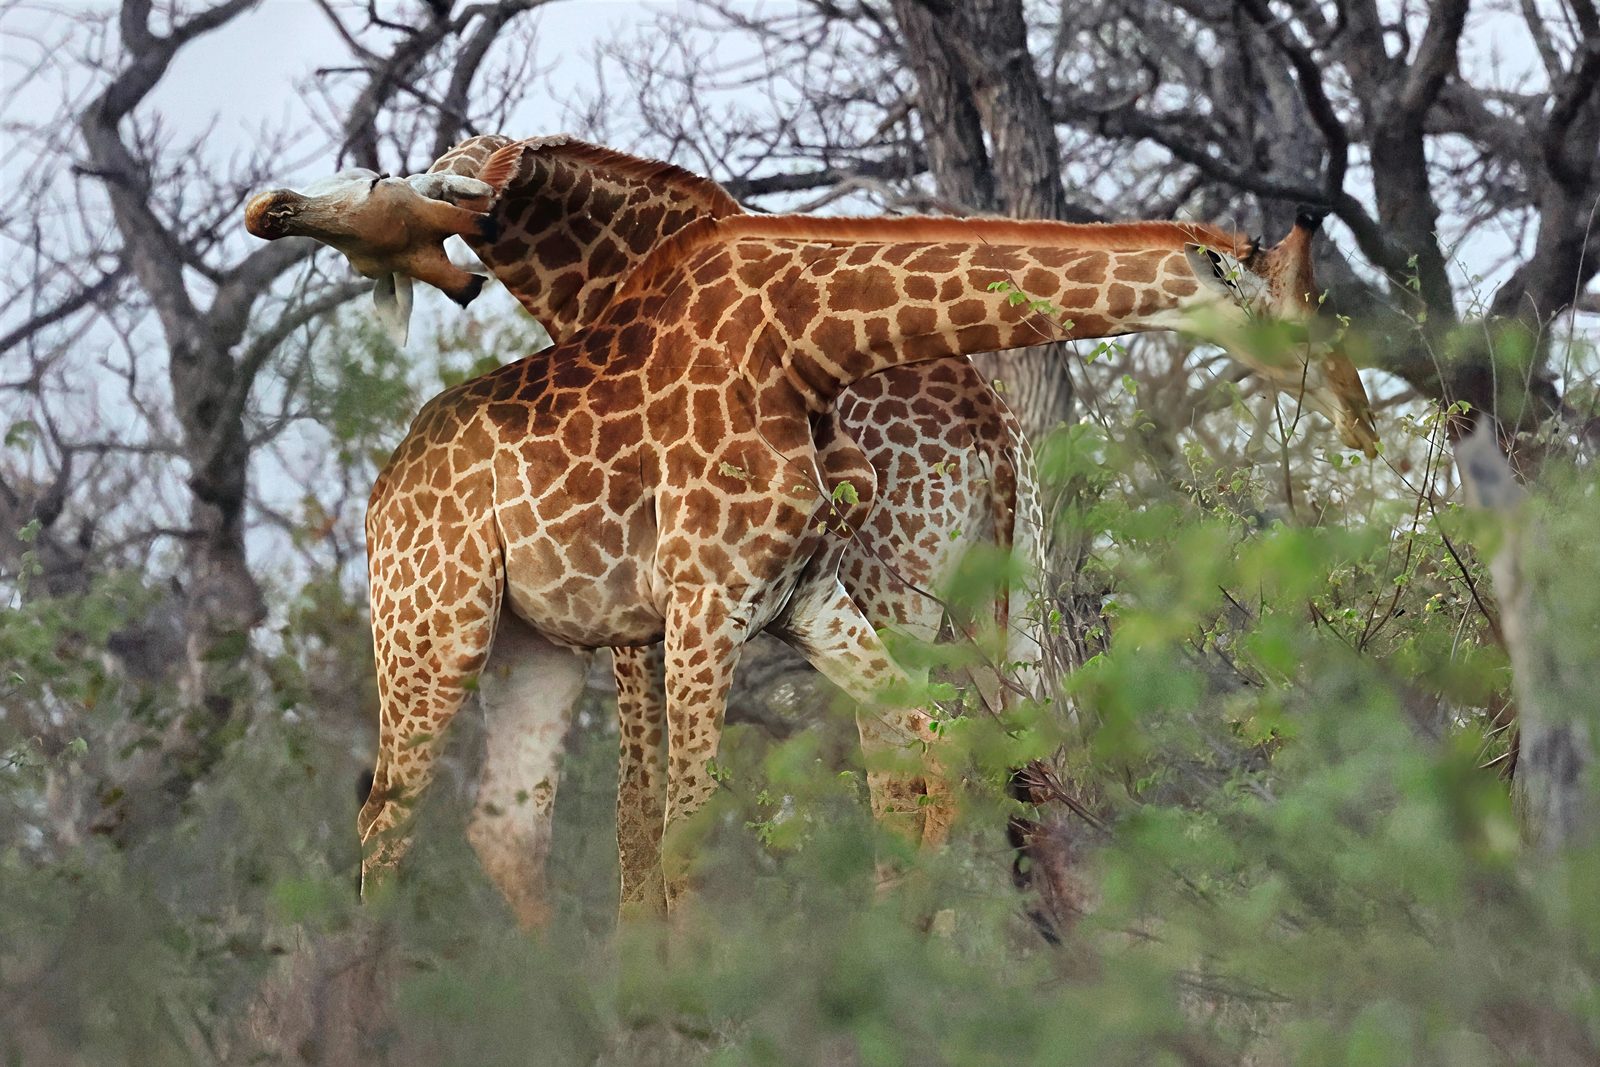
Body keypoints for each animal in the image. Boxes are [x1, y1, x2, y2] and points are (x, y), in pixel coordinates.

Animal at [249, 145, 1378, 920]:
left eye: (380, 181)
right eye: (1306, 308)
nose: (269, 208)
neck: (799, 335)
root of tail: (385, 484)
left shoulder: (734, 609)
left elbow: (665, 830)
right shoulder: (689, 611)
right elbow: (661, 832)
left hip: (510, 634)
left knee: (482, 823)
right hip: (443, 623)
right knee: (401, 815)